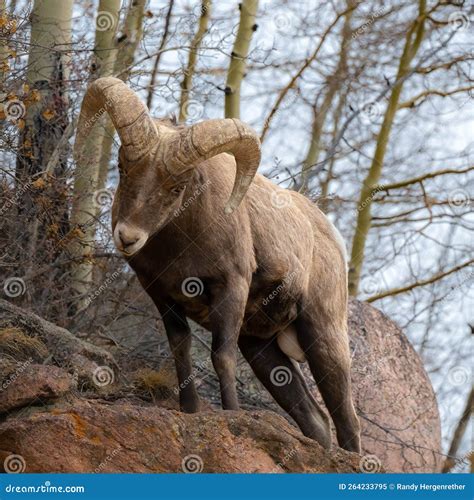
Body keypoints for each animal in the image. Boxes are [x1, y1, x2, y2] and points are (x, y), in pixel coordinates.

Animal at [76, 77, 362, 454]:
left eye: (177, 187)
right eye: (123, 168)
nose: (128, 237)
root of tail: (330, 236)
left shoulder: (231, 288)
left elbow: (220, 357)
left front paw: (232, 416)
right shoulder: (161, 294)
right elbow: (180, 348)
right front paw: (189, 410)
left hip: (323, 337)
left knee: (347, 421)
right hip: (261, 348)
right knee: (315, 419)